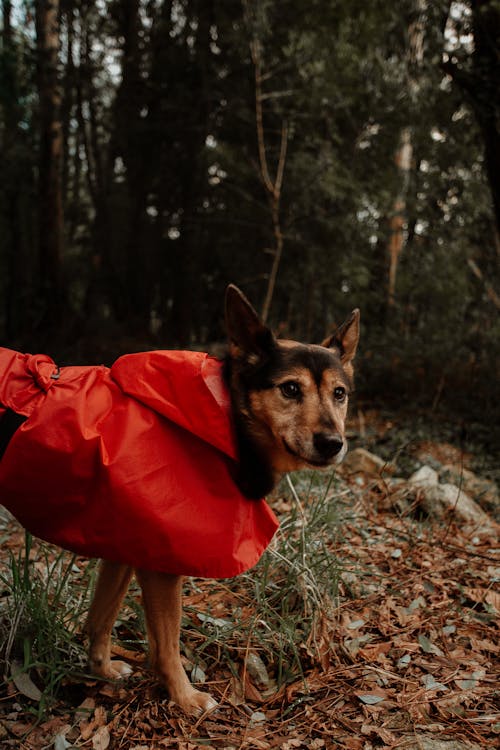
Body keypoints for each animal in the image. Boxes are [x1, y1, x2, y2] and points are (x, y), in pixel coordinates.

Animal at [0, 286, 360, 716]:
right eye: (290, 389)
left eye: (339, 394)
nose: (333, 443)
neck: (222, 419)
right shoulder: (162, 569)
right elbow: (167, 644)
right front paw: (185, 697)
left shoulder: (125, 550)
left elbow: (101, 618)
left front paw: (101, 669)